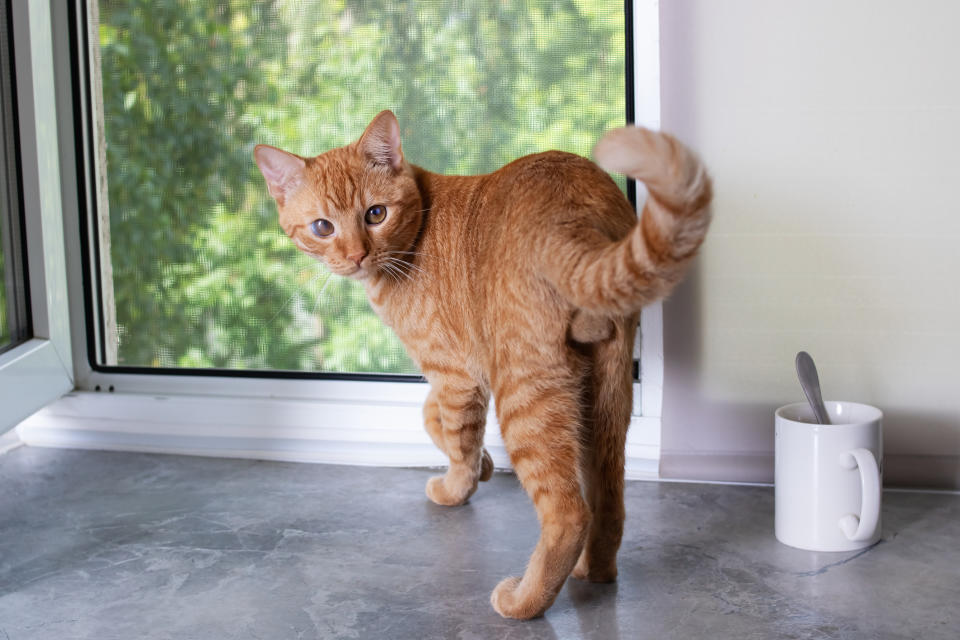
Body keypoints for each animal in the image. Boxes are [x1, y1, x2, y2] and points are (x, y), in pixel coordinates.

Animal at [255, 111, 712, 620]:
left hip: (523, 395)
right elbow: (434, 418)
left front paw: (458, 486)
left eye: (375, 214)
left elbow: (458, 439)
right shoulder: (461, 372)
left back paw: (524, 601)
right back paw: (595, 570)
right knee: (609, 502)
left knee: (568, 513)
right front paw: (485, 466)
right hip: (609, 392)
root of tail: (573, 216)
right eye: (323, 227)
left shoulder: (455, 374)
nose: (356, 255)